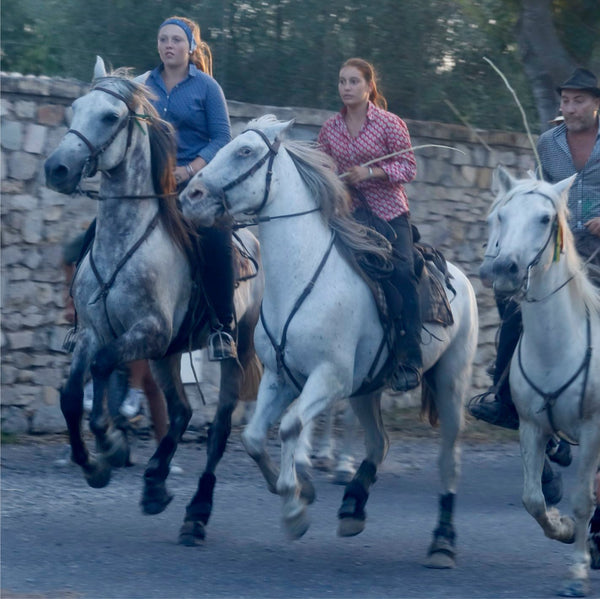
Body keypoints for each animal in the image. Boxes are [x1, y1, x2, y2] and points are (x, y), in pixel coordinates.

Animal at [178, 116, 478, 568]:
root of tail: (461, 279)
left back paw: (442, 543)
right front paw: (297, 489)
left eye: (245, 151)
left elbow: (290, 426)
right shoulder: (280, 378)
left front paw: (295, 507)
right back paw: (353, 506)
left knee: (450, 461)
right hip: (368, 389)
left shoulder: (329, 379)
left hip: (450, 383)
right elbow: (253, 437)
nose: (190, 196)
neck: (301, 277)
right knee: (379, 443)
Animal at [480, 165, 600, 599]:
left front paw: (577, 573)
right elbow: (532, 499)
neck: (558, 344)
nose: (503, 269)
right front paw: (563, 528)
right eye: (499, 216)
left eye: (545, 219)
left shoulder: (593, 430)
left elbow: (584, 499)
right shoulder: (531, 426)